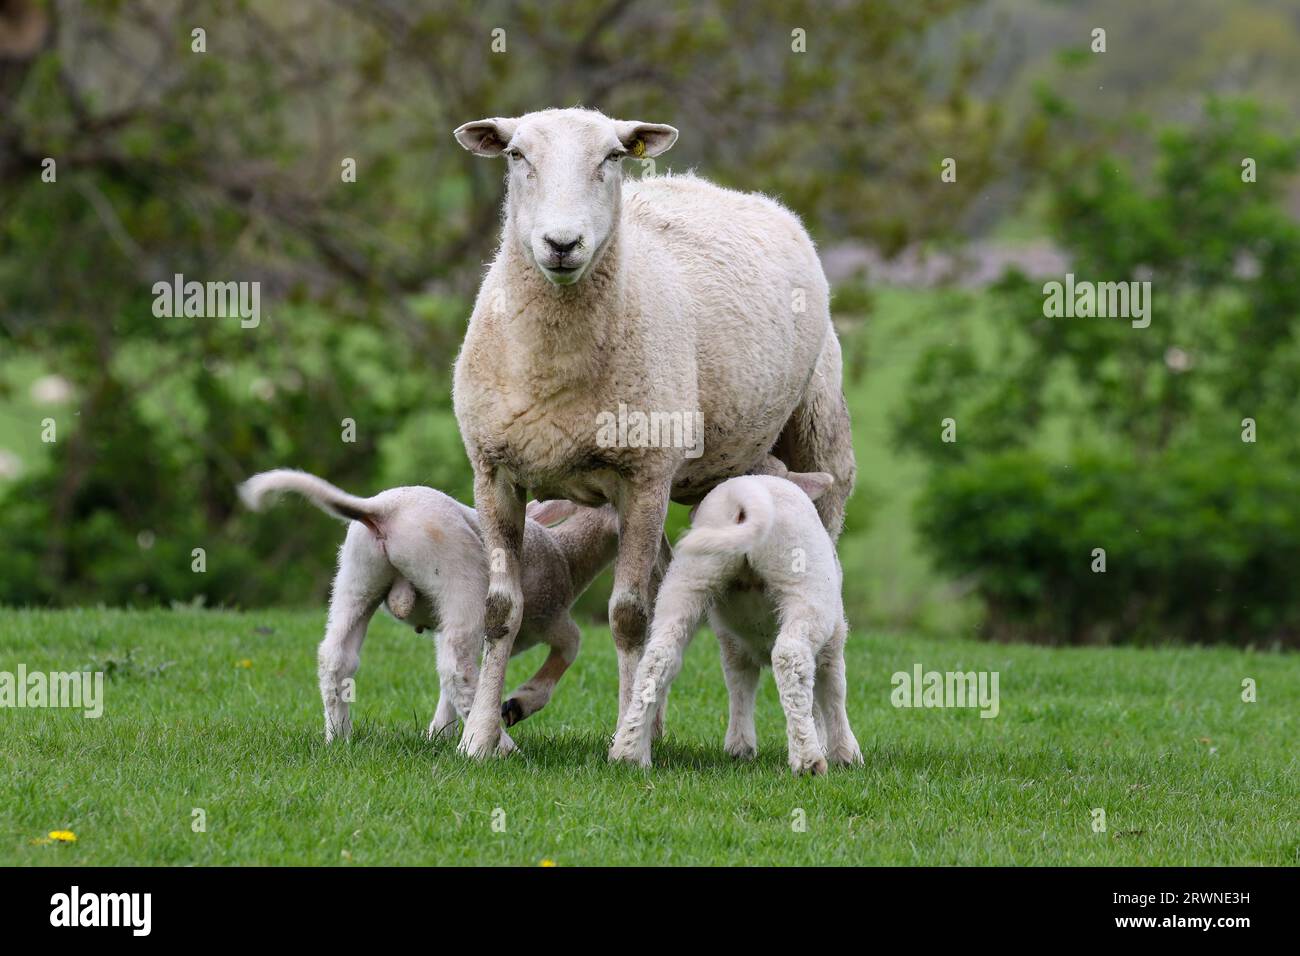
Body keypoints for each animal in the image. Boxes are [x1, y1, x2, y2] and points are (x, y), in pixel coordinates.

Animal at [243, 468, 618, 749]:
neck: (568, 554)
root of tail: (382, 510)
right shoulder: (549, 616)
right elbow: (572, 643)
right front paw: (517, 704)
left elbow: (450, 687)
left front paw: (439, 732)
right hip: (460, 580)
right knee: (455, 665)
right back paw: (499, 744)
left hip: (356, 573)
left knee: (336, 656)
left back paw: (339, 736)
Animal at [608, 473, 863, 780]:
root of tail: (743, 493)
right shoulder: (834, 640)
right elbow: (833, 689)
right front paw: (845, 753)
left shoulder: (732, 645)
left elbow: (740, 686)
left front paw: (739, 747)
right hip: (803, 581)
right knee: (790, 656)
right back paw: (808, 760)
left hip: (690, 576)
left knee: (659, 657)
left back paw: (628, 751)